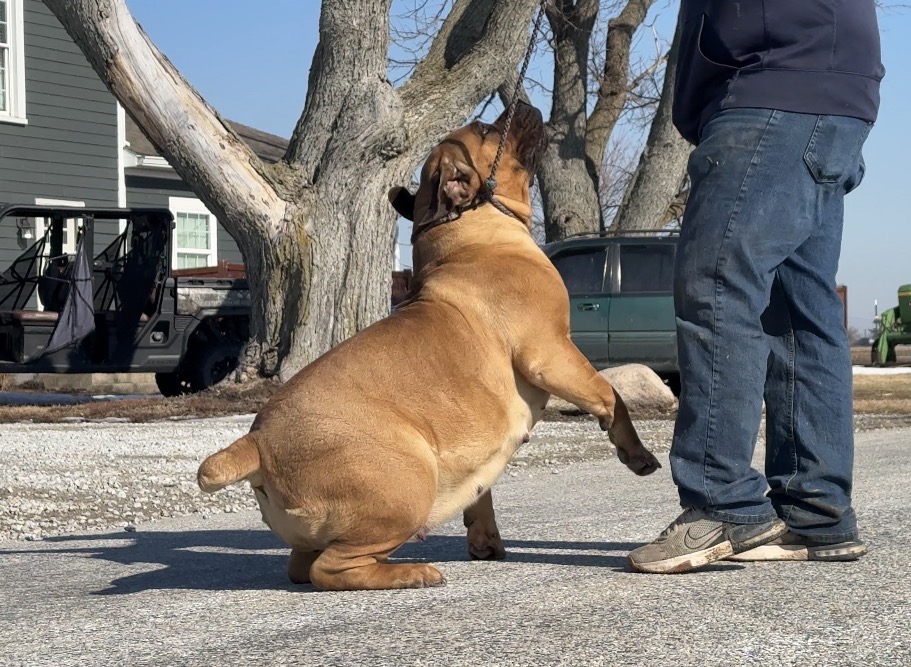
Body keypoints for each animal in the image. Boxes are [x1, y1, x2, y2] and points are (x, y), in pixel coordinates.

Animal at [197, 101, 661, 591]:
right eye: (486, 127)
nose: (521, 104)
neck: (469, 235)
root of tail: (258, 442)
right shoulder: (551, 353)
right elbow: (610, 395)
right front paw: (635, 453)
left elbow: (482, 493)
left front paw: (484, 540)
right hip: (409, 484)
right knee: (332, 568)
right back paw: (412, 573)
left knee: (302, 566)